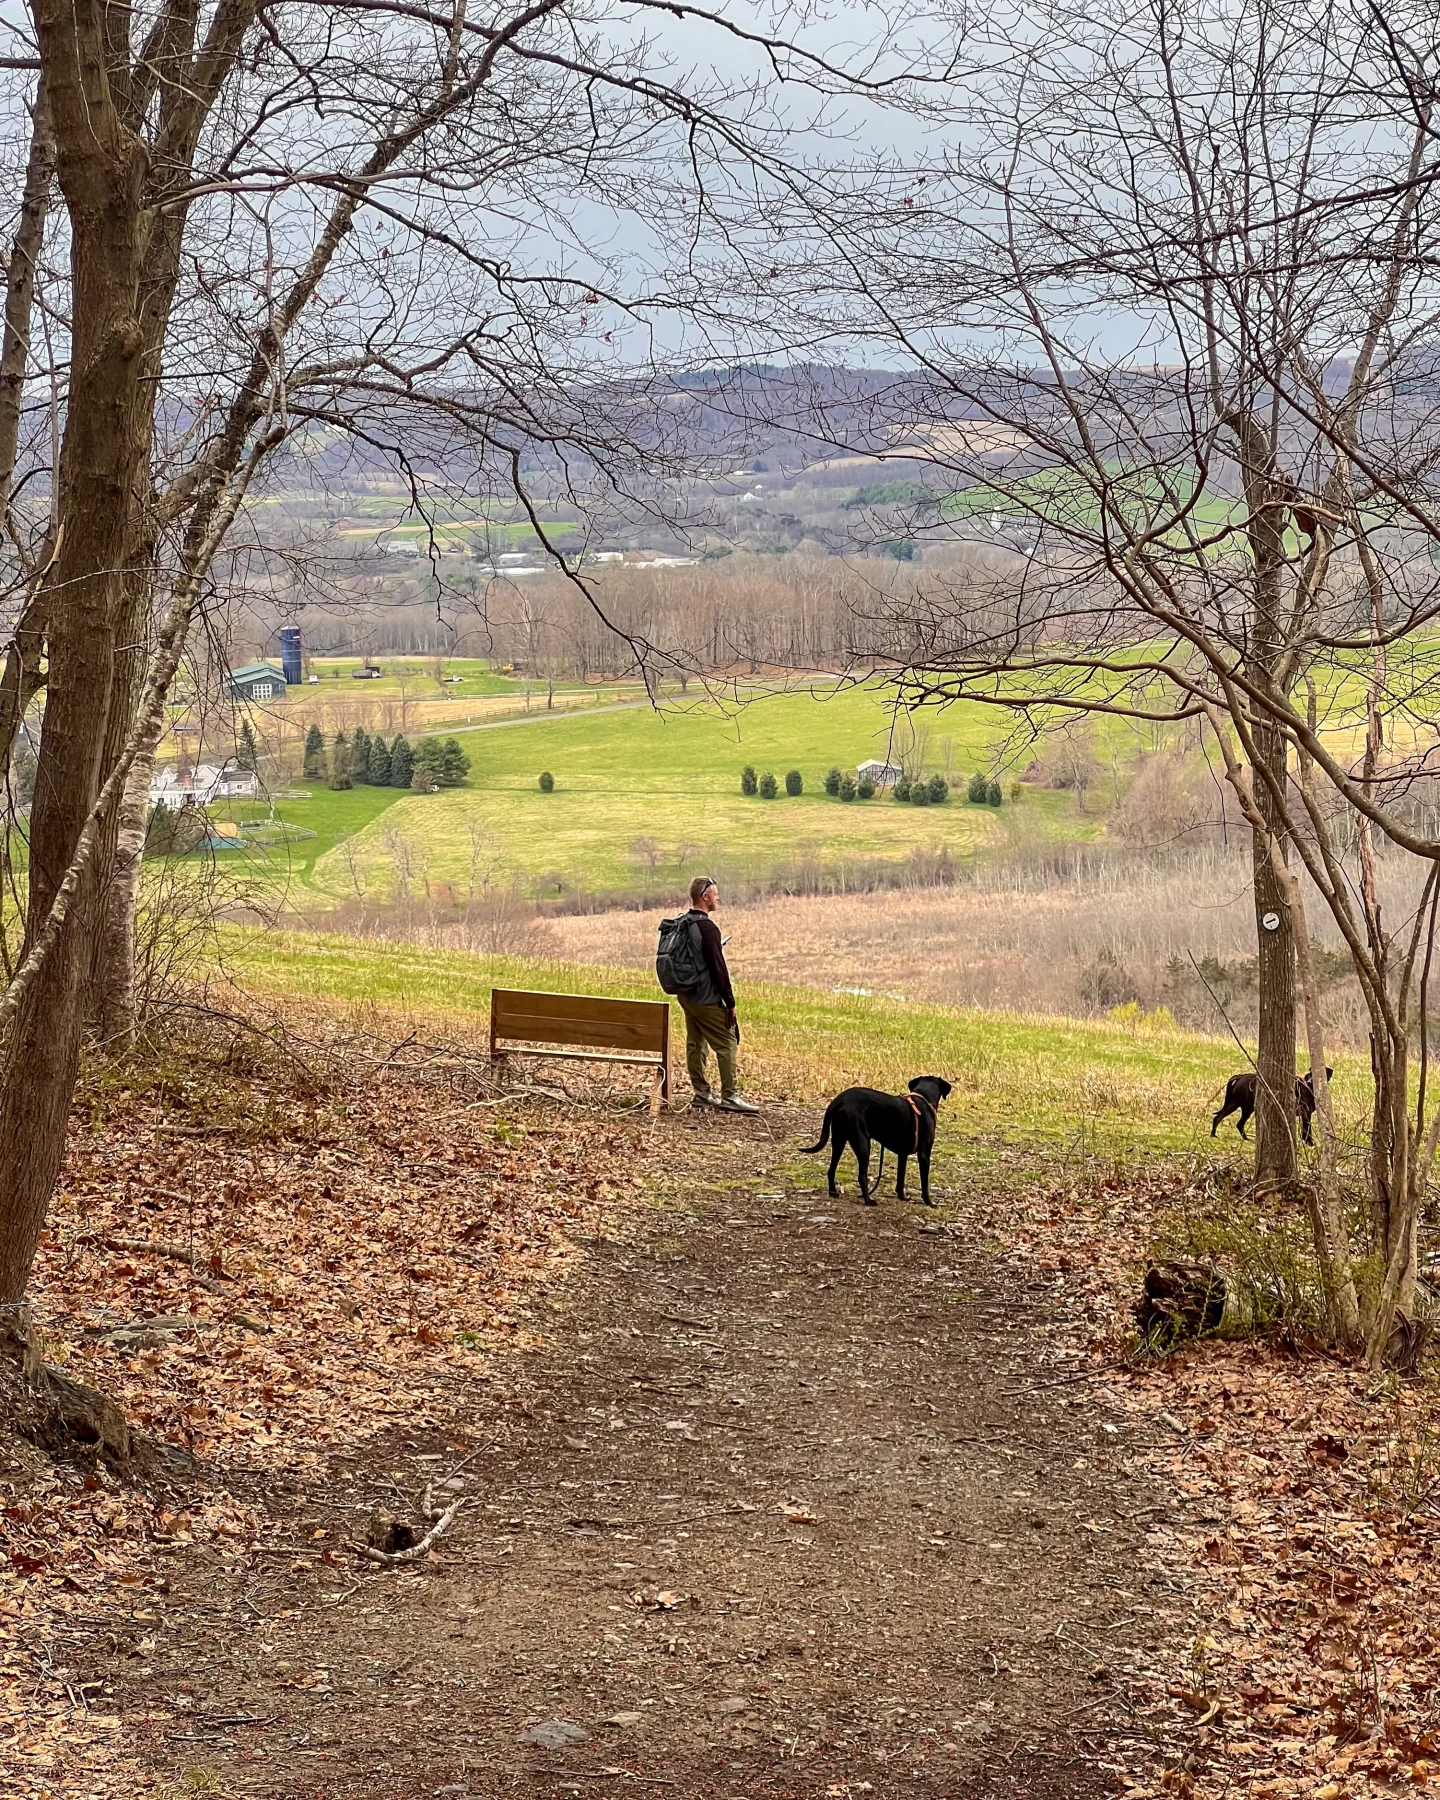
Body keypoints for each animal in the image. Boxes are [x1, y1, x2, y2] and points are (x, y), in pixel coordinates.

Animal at [802, 1072, 950, 1202]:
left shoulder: (902, 1154)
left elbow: (900, 1178)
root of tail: (840, 1099)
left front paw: (902, 1197)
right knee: (861, 1176)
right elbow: (924, 1183)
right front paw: (929, 1202)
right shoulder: (924, 1153)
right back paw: (868, 1200)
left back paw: (833, 1192)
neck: (924, 1098)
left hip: (839, 1140)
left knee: (831, 1169)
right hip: (862, 1143)